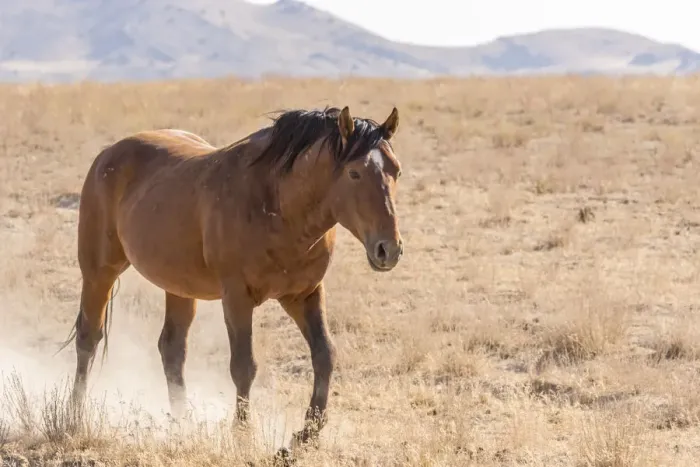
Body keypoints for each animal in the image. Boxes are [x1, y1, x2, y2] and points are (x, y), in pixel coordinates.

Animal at [59, 105, 404, 447]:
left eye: (396, 171)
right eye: (354, 173)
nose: (389, 249)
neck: (277, 206)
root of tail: (109, 153)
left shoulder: (304, 295)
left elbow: (324, 355)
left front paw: (307, 433)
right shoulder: (237, 298)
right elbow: (243, 366)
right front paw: (241, 433)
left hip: (180, 288)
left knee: (172, 349)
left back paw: (182, 425)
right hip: (99, 272)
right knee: (89, 338)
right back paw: (75, 416)